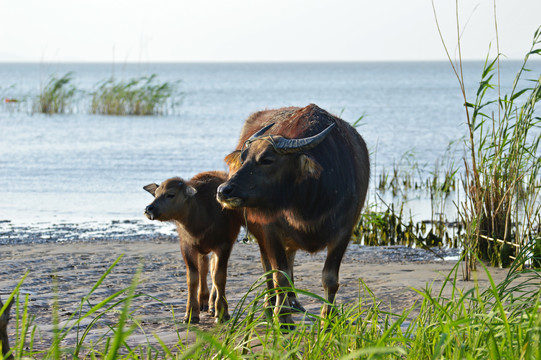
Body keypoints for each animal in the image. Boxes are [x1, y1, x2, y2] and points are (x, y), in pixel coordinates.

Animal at [142, 172, 242, 324]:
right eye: (156, 194)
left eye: (170, 194)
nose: (149, 209)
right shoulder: (187, 246)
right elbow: (192, 278)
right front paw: (191, 314)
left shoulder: (224, 245)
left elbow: (219, 277)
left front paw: (222, 312)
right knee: (204, 268)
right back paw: (204, 302)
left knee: (212, 270)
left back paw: (212, 305)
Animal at [217, 105, 370, 326]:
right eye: (244, 159)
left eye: (267, 160)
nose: (223, 190)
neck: (309, 201)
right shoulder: (271, 231)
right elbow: (279, 276)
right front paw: (282, 318)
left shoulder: (344, 231)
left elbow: (330, 279)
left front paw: (328, 317)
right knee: (268, 269)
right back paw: (271, 304)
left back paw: (293, 302)